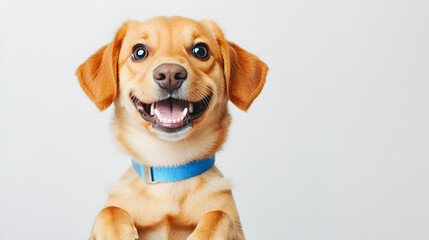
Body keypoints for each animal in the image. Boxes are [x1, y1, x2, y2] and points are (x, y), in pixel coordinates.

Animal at [75, 15, 266, 239]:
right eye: (139, 52)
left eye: (200, 51)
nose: (170, 74)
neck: (170, 168)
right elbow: (109, 211)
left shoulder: (234, 226)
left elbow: (219, 215)